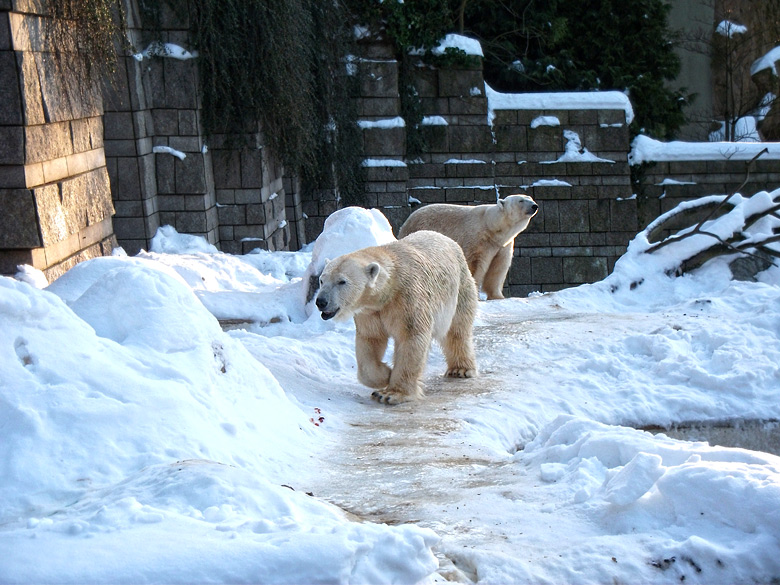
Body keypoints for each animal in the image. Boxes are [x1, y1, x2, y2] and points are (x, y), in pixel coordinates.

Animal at [316, 230, 476, 404]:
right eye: (321, 280)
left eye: (342, 281)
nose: (321, 301)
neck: (389, 288)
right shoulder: (370, 312)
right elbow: (370, 339)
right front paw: (386, 375)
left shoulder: (408, 298)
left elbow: (411, 338)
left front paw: (391, 394)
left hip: (460, 288)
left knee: (458, 329)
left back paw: (460, 369)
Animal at [400, 194, 540, 298]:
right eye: (521, 200)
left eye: (531, 198)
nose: (535, 206)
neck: (494, 228)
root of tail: (406, 221)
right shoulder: (478, 240)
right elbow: (474, 264)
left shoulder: (503, 245)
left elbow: (498, 268)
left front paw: (497, 296)